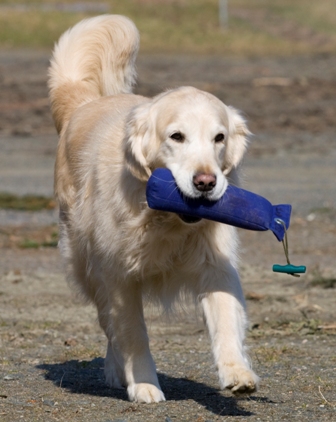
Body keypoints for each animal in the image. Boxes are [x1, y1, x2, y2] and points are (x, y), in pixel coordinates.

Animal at [48, 14, 260, 402]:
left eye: (219, 138)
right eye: (176, 136)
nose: (205, 182)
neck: (166, 221)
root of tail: (83, 104)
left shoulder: (216, 264)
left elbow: (226, 318)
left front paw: (237, 373)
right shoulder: (117, 275)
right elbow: (132, 333)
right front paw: (145, 383)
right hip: (84, 263)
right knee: (108, 323)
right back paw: (117, 370)